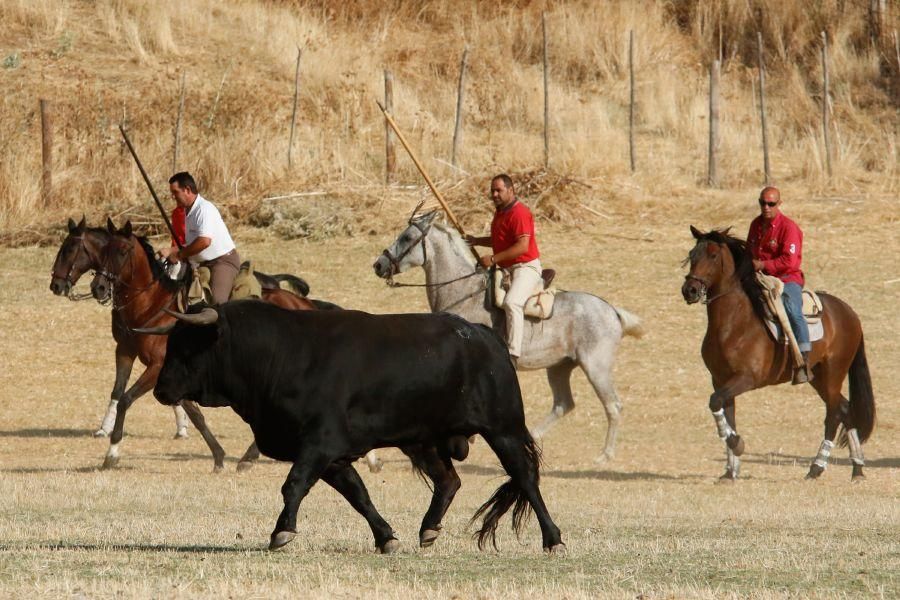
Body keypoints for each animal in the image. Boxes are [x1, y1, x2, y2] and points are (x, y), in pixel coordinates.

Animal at [88, 218, 318, 472]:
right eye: (103, 250)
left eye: (122, 251)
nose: (98, 287)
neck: (153, 307)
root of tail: (304, 304)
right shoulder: (126, 353)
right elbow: (192, 413)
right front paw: (218, 456)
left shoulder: (157, 366)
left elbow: (126, 399)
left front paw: (112, 453)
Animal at [153, 300, 564, 552]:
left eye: (186, 345)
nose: (160, 389)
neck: (280, 355)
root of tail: (481, 334)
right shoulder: (332, 455)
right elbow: (358, 494)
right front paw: (386, 537)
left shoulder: (319, 443)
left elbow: (294, 485)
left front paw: (281, 531)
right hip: (423, 440)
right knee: (449, 480)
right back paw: (428, 528)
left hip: (503, 429)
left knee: (525, 477)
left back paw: (553, 539)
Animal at [374, 213, 648, 462]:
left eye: (407, 237)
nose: (378, 265)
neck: (463, 292)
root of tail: (613, 311)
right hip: (559, 367)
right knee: (563, 404)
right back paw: (533, 437)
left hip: (595, 367)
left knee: (612, 405)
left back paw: (604, 456)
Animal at [684, 225, 872, 482]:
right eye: (692, 255)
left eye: (712, 256)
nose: (689, 290)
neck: (734, 322)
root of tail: (850, 313)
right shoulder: (720, 380)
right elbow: (726, 412)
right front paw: (730, 471)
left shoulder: (746, 379)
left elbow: (715, 403)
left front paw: (737, 444)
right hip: (818, 377)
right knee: (845, 409)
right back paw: (857, 468)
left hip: (834, 374)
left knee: (834, 414)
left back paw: (816, 467)